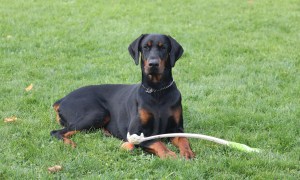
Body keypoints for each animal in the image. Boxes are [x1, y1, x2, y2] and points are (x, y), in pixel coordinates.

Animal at [50, 34, 196, 159]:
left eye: (163, 47)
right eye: (145, 47)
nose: (153, 64)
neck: (157, 91)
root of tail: (63, 99)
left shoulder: (177, 128)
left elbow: (183, 139)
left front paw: (187, 152)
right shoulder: (135, 131)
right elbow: (156, 142)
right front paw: (168, 154)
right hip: (98, 112)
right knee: (55, 132)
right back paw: (70, 144)